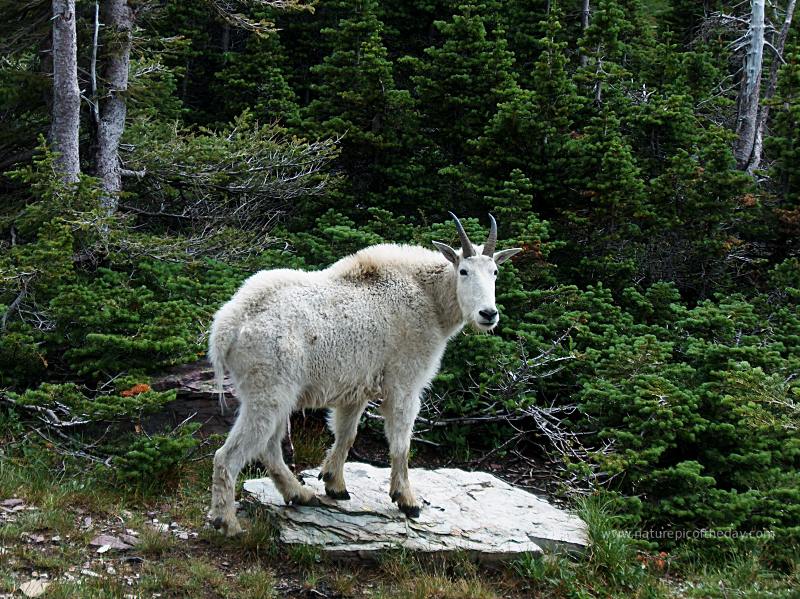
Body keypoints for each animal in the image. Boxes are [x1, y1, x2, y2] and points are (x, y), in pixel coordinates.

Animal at [208, 214, 520, 536]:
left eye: (495, 272)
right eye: (463, 271)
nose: (488, 314)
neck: (430, 298)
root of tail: (227, 326)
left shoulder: (355, 389)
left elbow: (346, 434)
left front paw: (334, 484)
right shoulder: (404, 381)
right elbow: (400, 441)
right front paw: (407, 500)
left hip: (272, 393)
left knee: (269, 447)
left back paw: (300, 494)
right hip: (268, 391)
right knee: (230, 455)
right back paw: (227, 521)